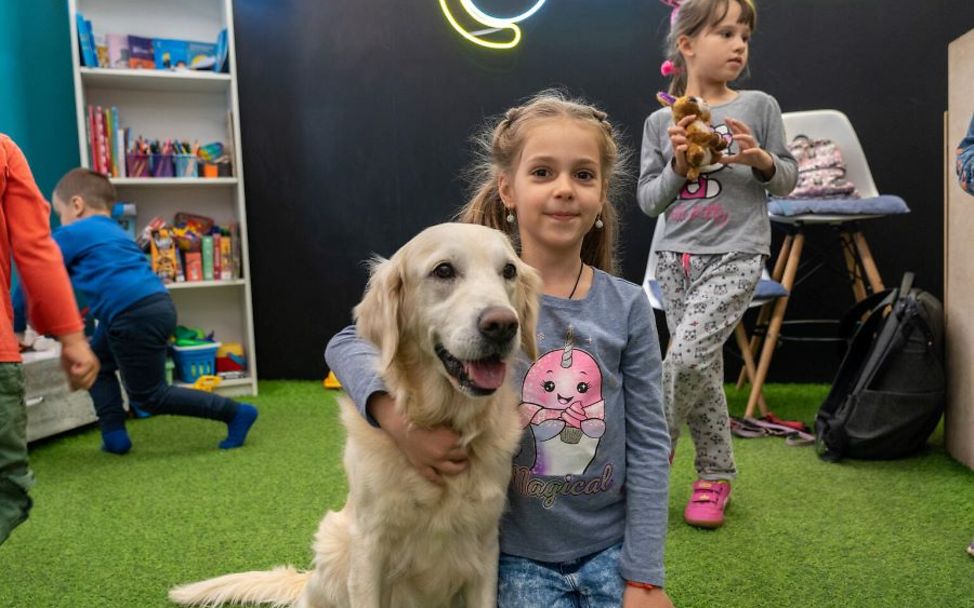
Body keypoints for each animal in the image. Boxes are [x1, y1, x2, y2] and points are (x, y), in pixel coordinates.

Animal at [172, 223, 544, 608]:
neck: (444, 419)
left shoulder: (485, 547)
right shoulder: (369, 547)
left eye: (509, 271)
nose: (503, 325)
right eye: (443, 271)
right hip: (334, 546)